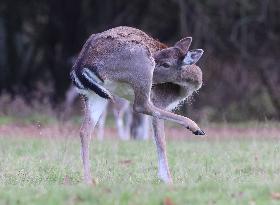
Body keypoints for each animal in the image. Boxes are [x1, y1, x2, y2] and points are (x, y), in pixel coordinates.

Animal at [70, 25, 205, 184]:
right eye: (157, 56)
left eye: (166, 64)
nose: (154, 80)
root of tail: (80, 66)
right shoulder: (159, 101)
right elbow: (161, 139)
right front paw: (167, 180)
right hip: (142, 66)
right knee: (140, 105)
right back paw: (195, 127)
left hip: (94, 95)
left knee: (85, 130)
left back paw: (88, 181)